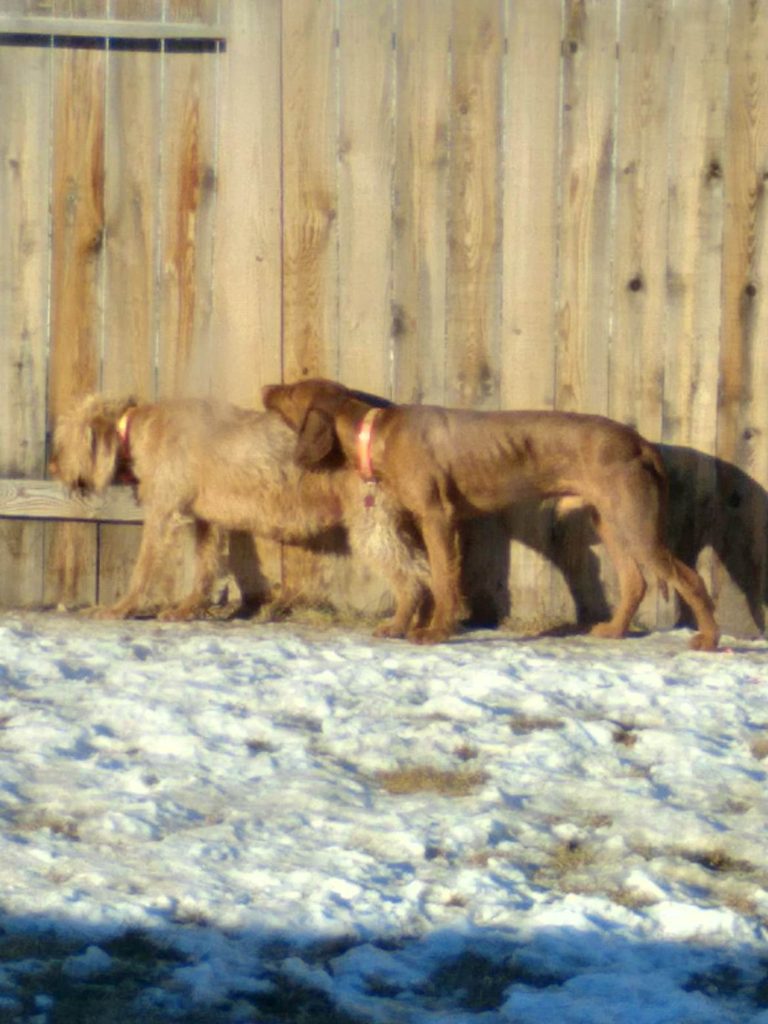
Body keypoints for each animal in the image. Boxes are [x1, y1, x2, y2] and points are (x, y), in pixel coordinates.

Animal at [48, 393, 434, 626]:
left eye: (63, 442)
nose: (51, 467)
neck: (138, 430)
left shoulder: (163, 514)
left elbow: (143, 569)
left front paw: (120, 609)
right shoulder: (207, 522)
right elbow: (204, 571)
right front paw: (186, 610)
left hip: (371, 527)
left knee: (410, 577)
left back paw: (398, 625)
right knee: (425, 569)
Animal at [264, 376, 720, 647]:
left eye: (291, 391)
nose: (267, 387)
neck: (374, 431)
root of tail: (641, 441)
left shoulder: (438, 517)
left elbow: (442, 579)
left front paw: (436, 631)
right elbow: (418, 577)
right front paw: (400, 625)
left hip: (636, 524)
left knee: (691, 578)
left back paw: (709, 640)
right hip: (610, 521)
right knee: (635, 582)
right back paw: (614, 630)